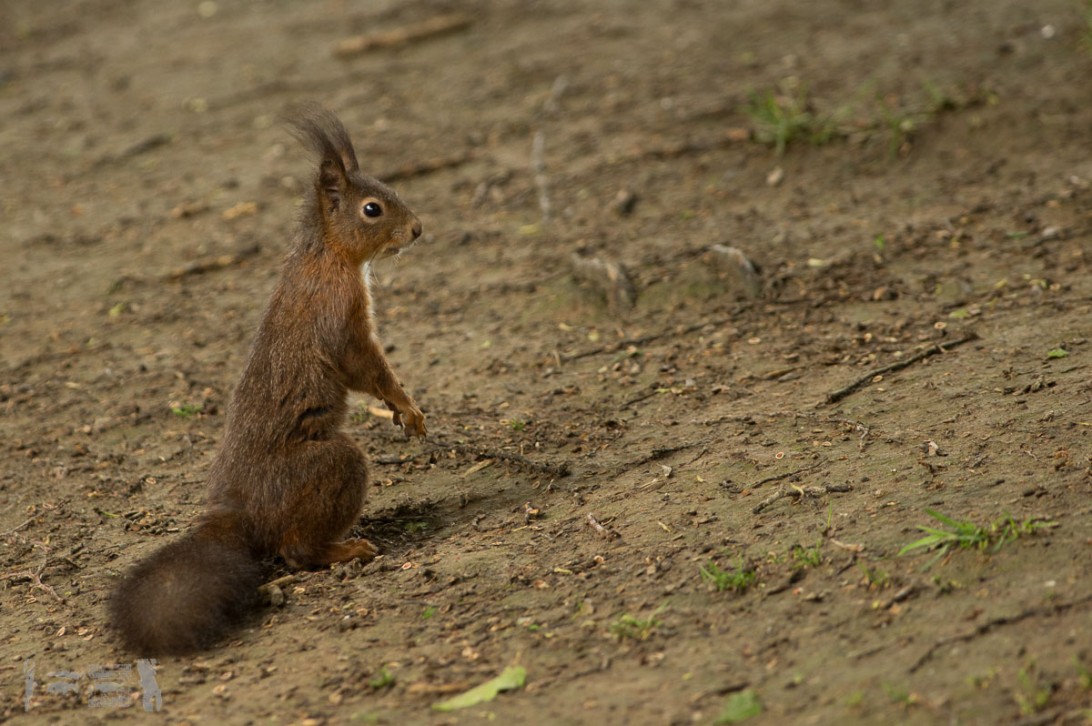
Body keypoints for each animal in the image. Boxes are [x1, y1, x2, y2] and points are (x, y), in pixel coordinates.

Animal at [109, 103, 427, 656]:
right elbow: (367, 368)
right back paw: (346, 550)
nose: (417, 229)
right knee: (295, 550)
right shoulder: (340, 320)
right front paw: (406, 406)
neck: (328, 255)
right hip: (328, 469)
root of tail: (242, 516)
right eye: (372, 209)